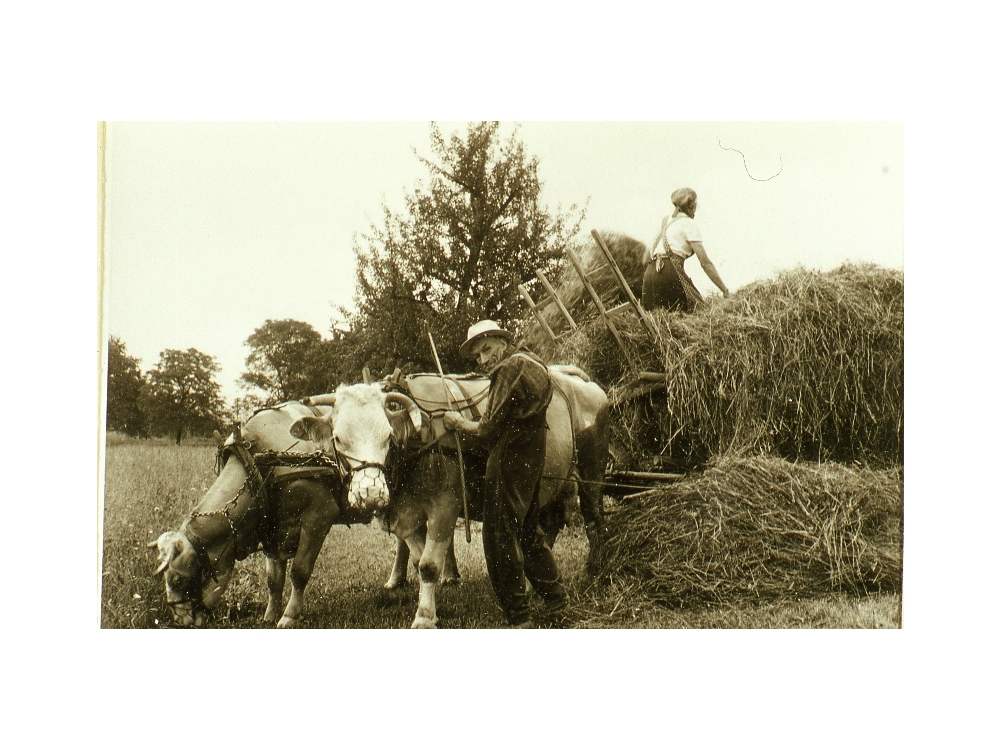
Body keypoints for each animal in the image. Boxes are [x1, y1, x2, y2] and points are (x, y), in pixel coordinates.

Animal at [146, 394, 420, 628]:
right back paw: (396, 580)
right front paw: (270, 614)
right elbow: (273, 578)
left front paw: (289, 616)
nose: (181, 621)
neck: (261, 463)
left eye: (178, 579)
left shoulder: (318, 517)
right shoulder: (270, 525)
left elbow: (299, 571)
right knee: (403, 539)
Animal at [290, 368, 608, 632]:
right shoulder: (407, 516)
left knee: (593, 521)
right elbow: (418, 559)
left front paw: (424, 617)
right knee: (548, 528)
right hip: (554, 486)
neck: (418, 442)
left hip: (590, 473)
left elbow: (429, 565)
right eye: (338, 439)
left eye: (388, 437)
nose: (372, 494)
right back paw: (532, 586)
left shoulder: (445, 505)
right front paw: (433, 606)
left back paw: (593, 570)